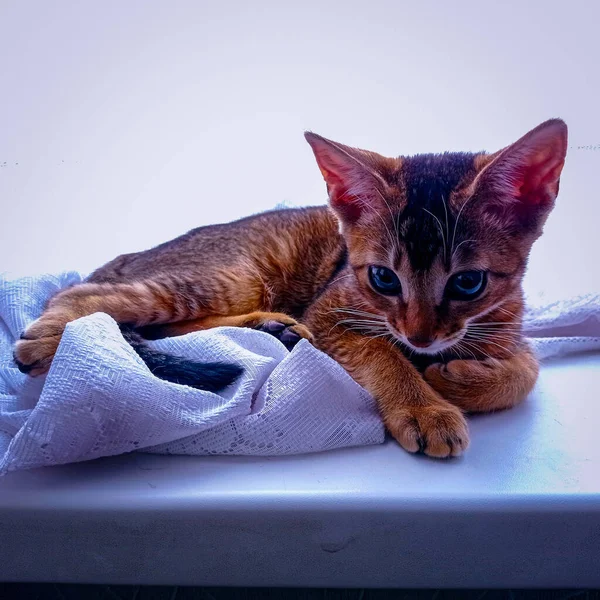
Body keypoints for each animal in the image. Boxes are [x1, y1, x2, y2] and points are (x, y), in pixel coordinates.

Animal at [12, 119, 568, 458]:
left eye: (468, 282)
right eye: (383, 277)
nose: (421, 337)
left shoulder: (510, 323)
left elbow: (527, 370)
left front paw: (458, 380)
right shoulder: (331, 313)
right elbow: (381, 353)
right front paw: (425, 406)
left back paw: (272, 327)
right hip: (233, 273)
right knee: (79, 299)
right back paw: (46, 340)